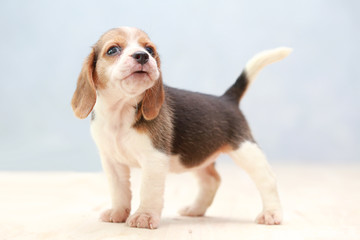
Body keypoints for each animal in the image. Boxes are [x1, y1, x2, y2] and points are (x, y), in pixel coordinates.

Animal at [71, 26, 292, 229]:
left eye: (150, 49)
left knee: (267, 180)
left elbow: (148, 190)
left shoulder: (154, 159)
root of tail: (227, 99)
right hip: (197, 155)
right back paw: (195, 209)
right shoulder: (112, 162)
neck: (120, 111)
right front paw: (118, 212)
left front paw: (144, 216)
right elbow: (119, 190)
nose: (142, 56)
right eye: (113, 50)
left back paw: (271, 213)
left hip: (246, 150)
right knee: (211, 180)